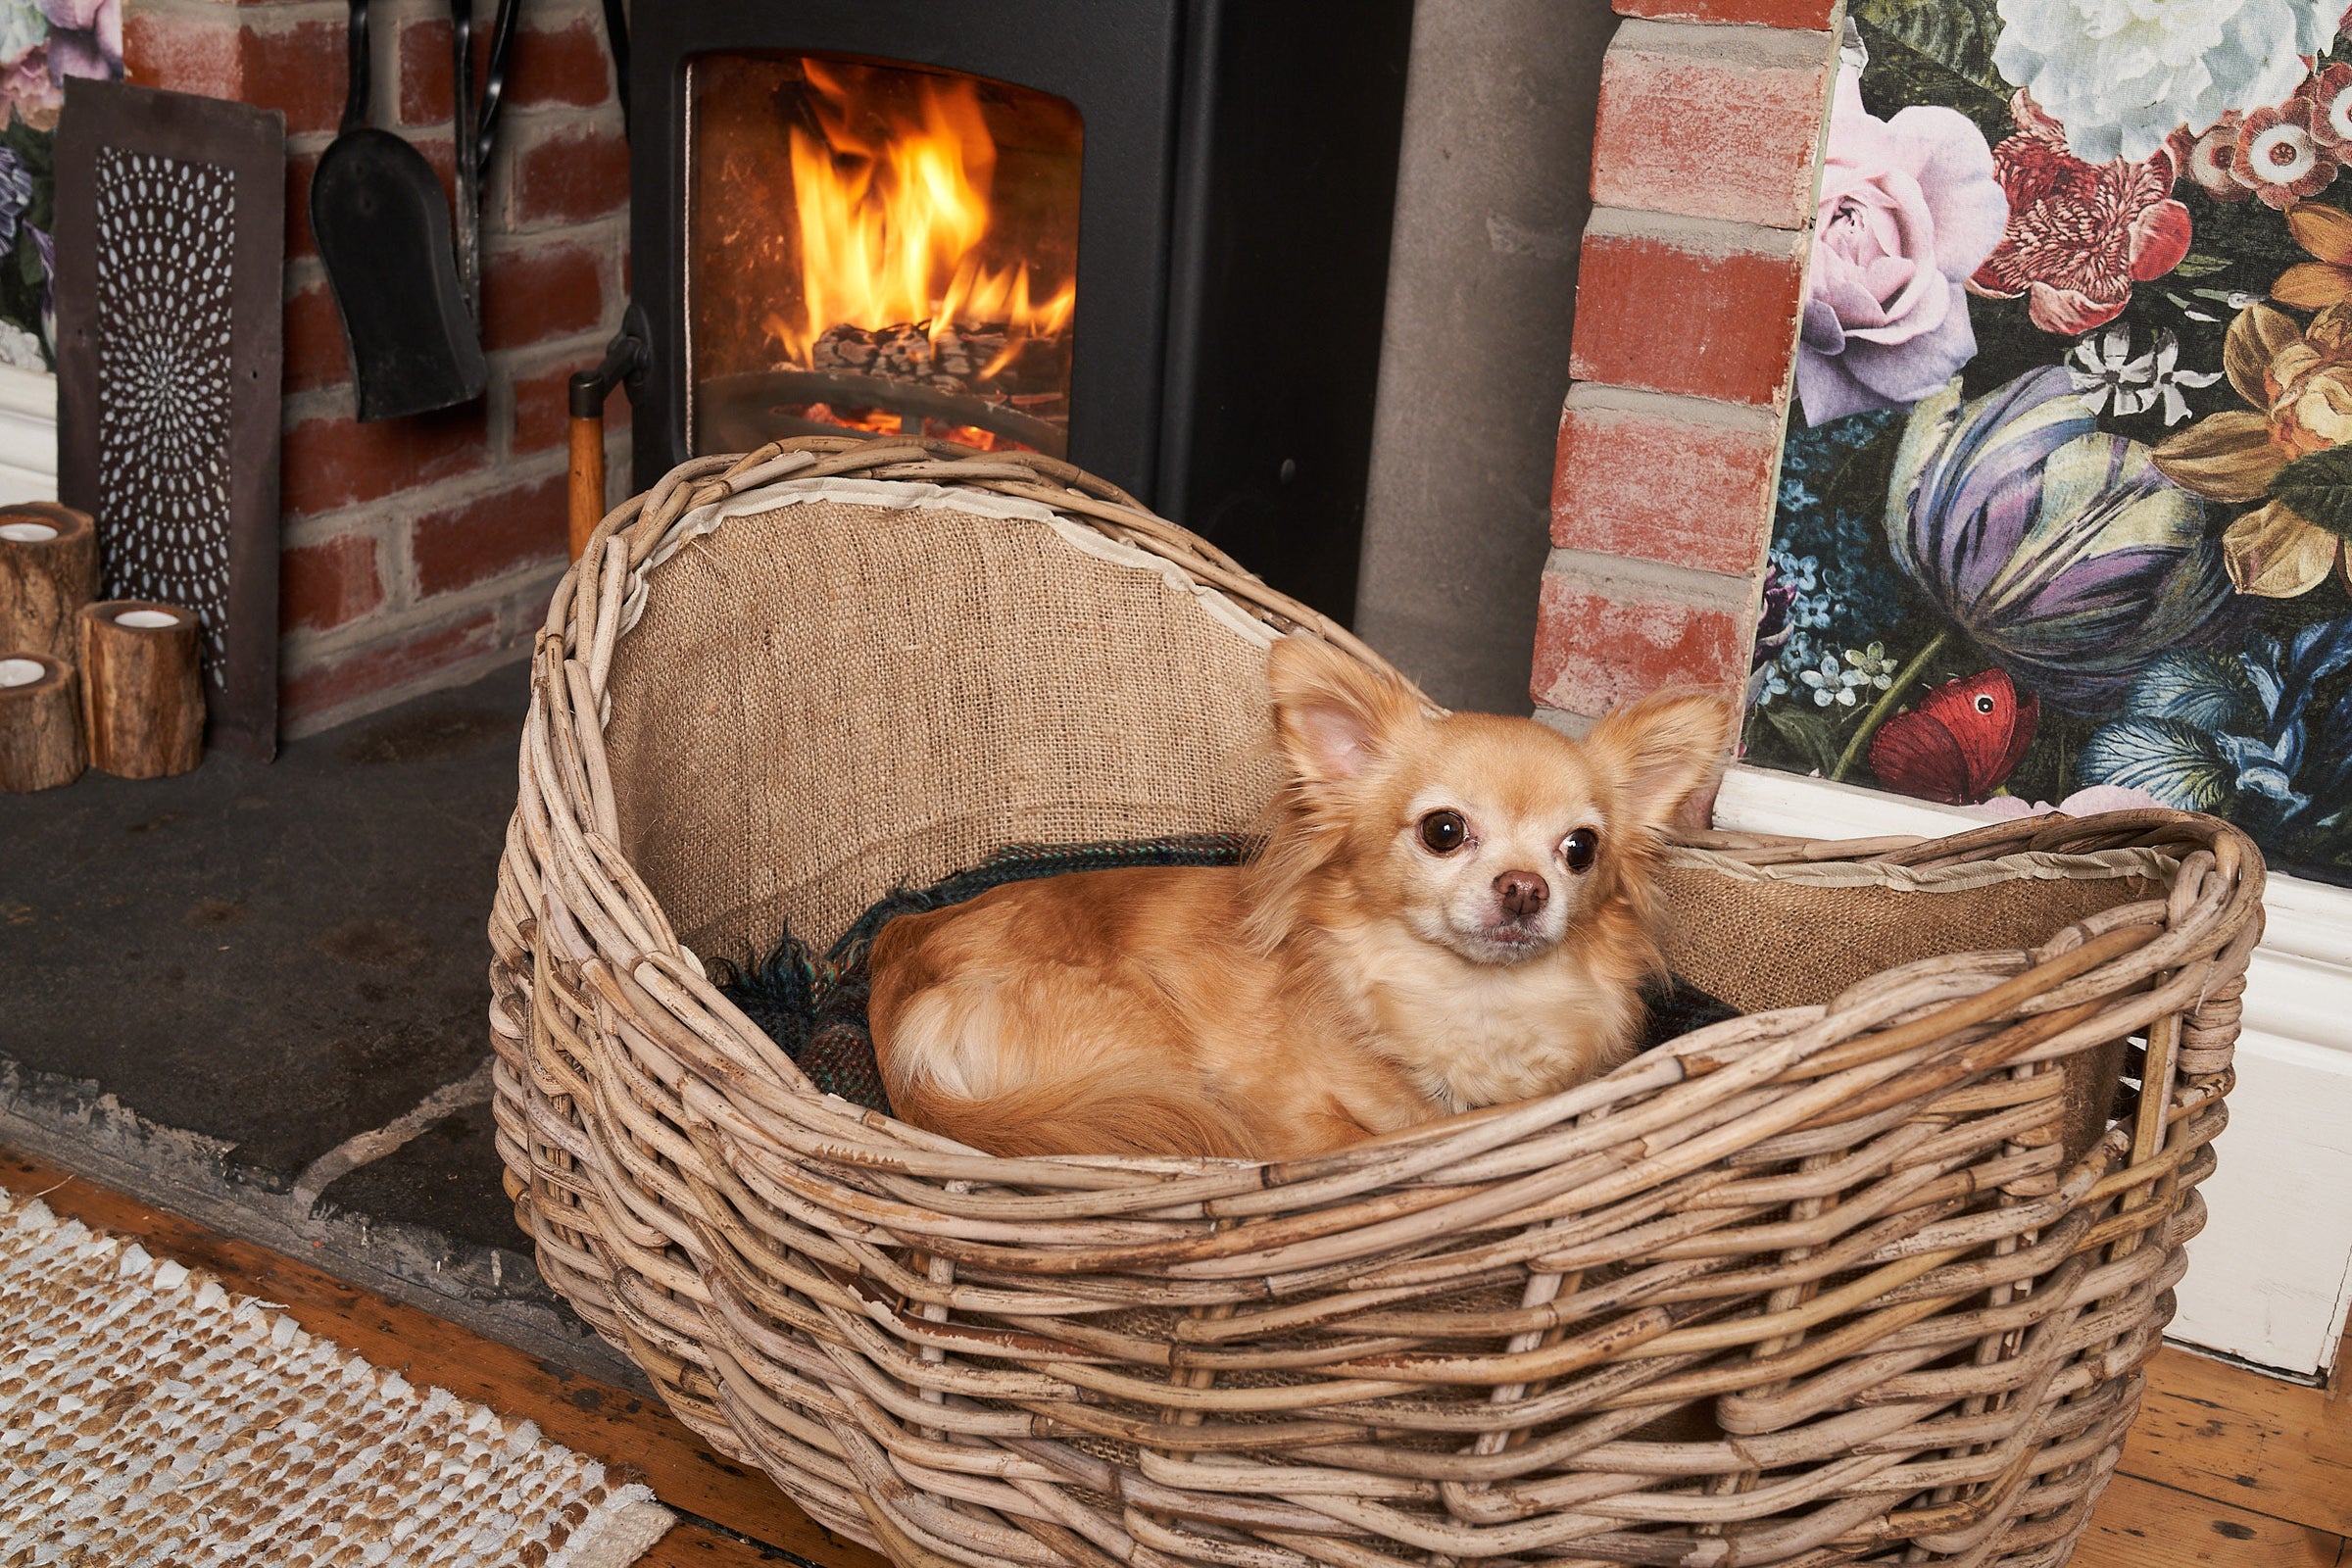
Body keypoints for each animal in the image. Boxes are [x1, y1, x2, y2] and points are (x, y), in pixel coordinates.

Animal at [865, 629, 1731, 1161]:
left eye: (1580, 850)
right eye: (1444, 831)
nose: (1525, 888)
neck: (1470, 1006)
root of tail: (898, 967)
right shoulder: (1291, 1119)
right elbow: (1351, 1137)